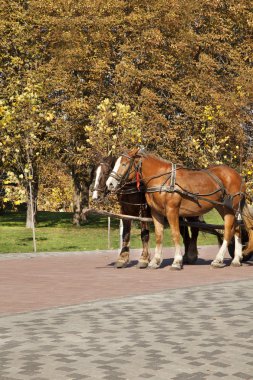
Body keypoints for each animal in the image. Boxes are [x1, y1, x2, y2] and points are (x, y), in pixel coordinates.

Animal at [106, 147, 253, 268]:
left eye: (124, 164)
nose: (110, 184)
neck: (163, 180)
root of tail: (237, 175)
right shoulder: (156, 212)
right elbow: (159, 235)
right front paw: (156, 260)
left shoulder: (172, 210)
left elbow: (175, 234)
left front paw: (177, 261)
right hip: (223, 207)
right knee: (237, 229)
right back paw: (236, 259)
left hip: (230, 207)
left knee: (228, 230)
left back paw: (219, 259)